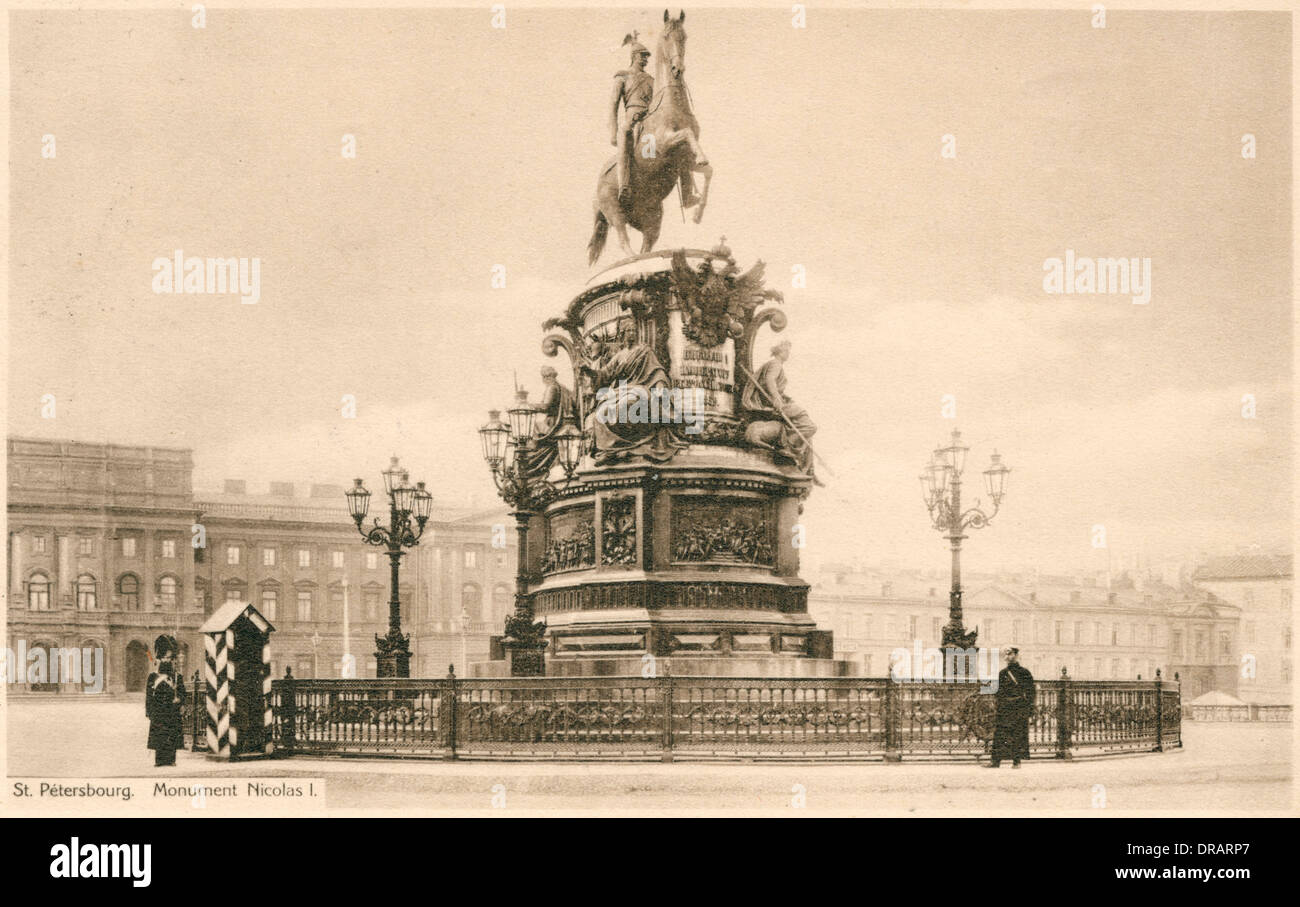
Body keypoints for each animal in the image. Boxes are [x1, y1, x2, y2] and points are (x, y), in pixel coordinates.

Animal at [587, 10, 712, 265]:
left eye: (684, 37)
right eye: (665, 36)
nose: (677, 69)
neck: (672, 108)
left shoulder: (684, 161)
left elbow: (708, 171)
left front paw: (697, 210)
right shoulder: (665, 144)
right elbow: (688, 137)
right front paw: (703, 157)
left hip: (652, 217)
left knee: (647, 244)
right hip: (614, 212)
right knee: (624, 241)